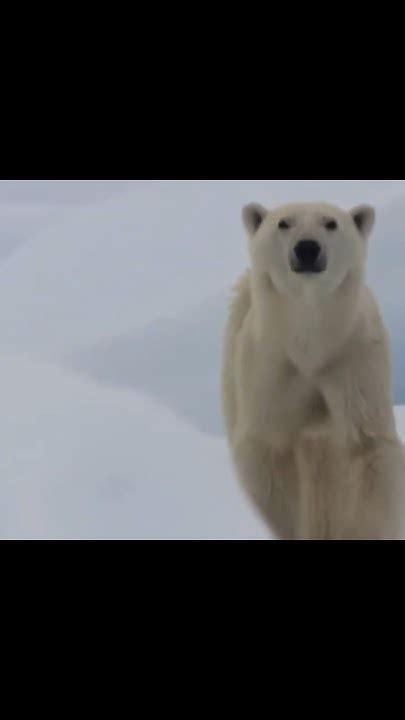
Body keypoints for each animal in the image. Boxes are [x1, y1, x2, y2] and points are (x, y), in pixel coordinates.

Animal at [221, 202, 404, 540]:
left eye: (331, 223)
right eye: (283, 223)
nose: (307, 248)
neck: (309, 343)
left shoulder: (353, 361)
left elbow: (367, 448)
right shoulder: (269, 365)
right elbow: (268, 450)